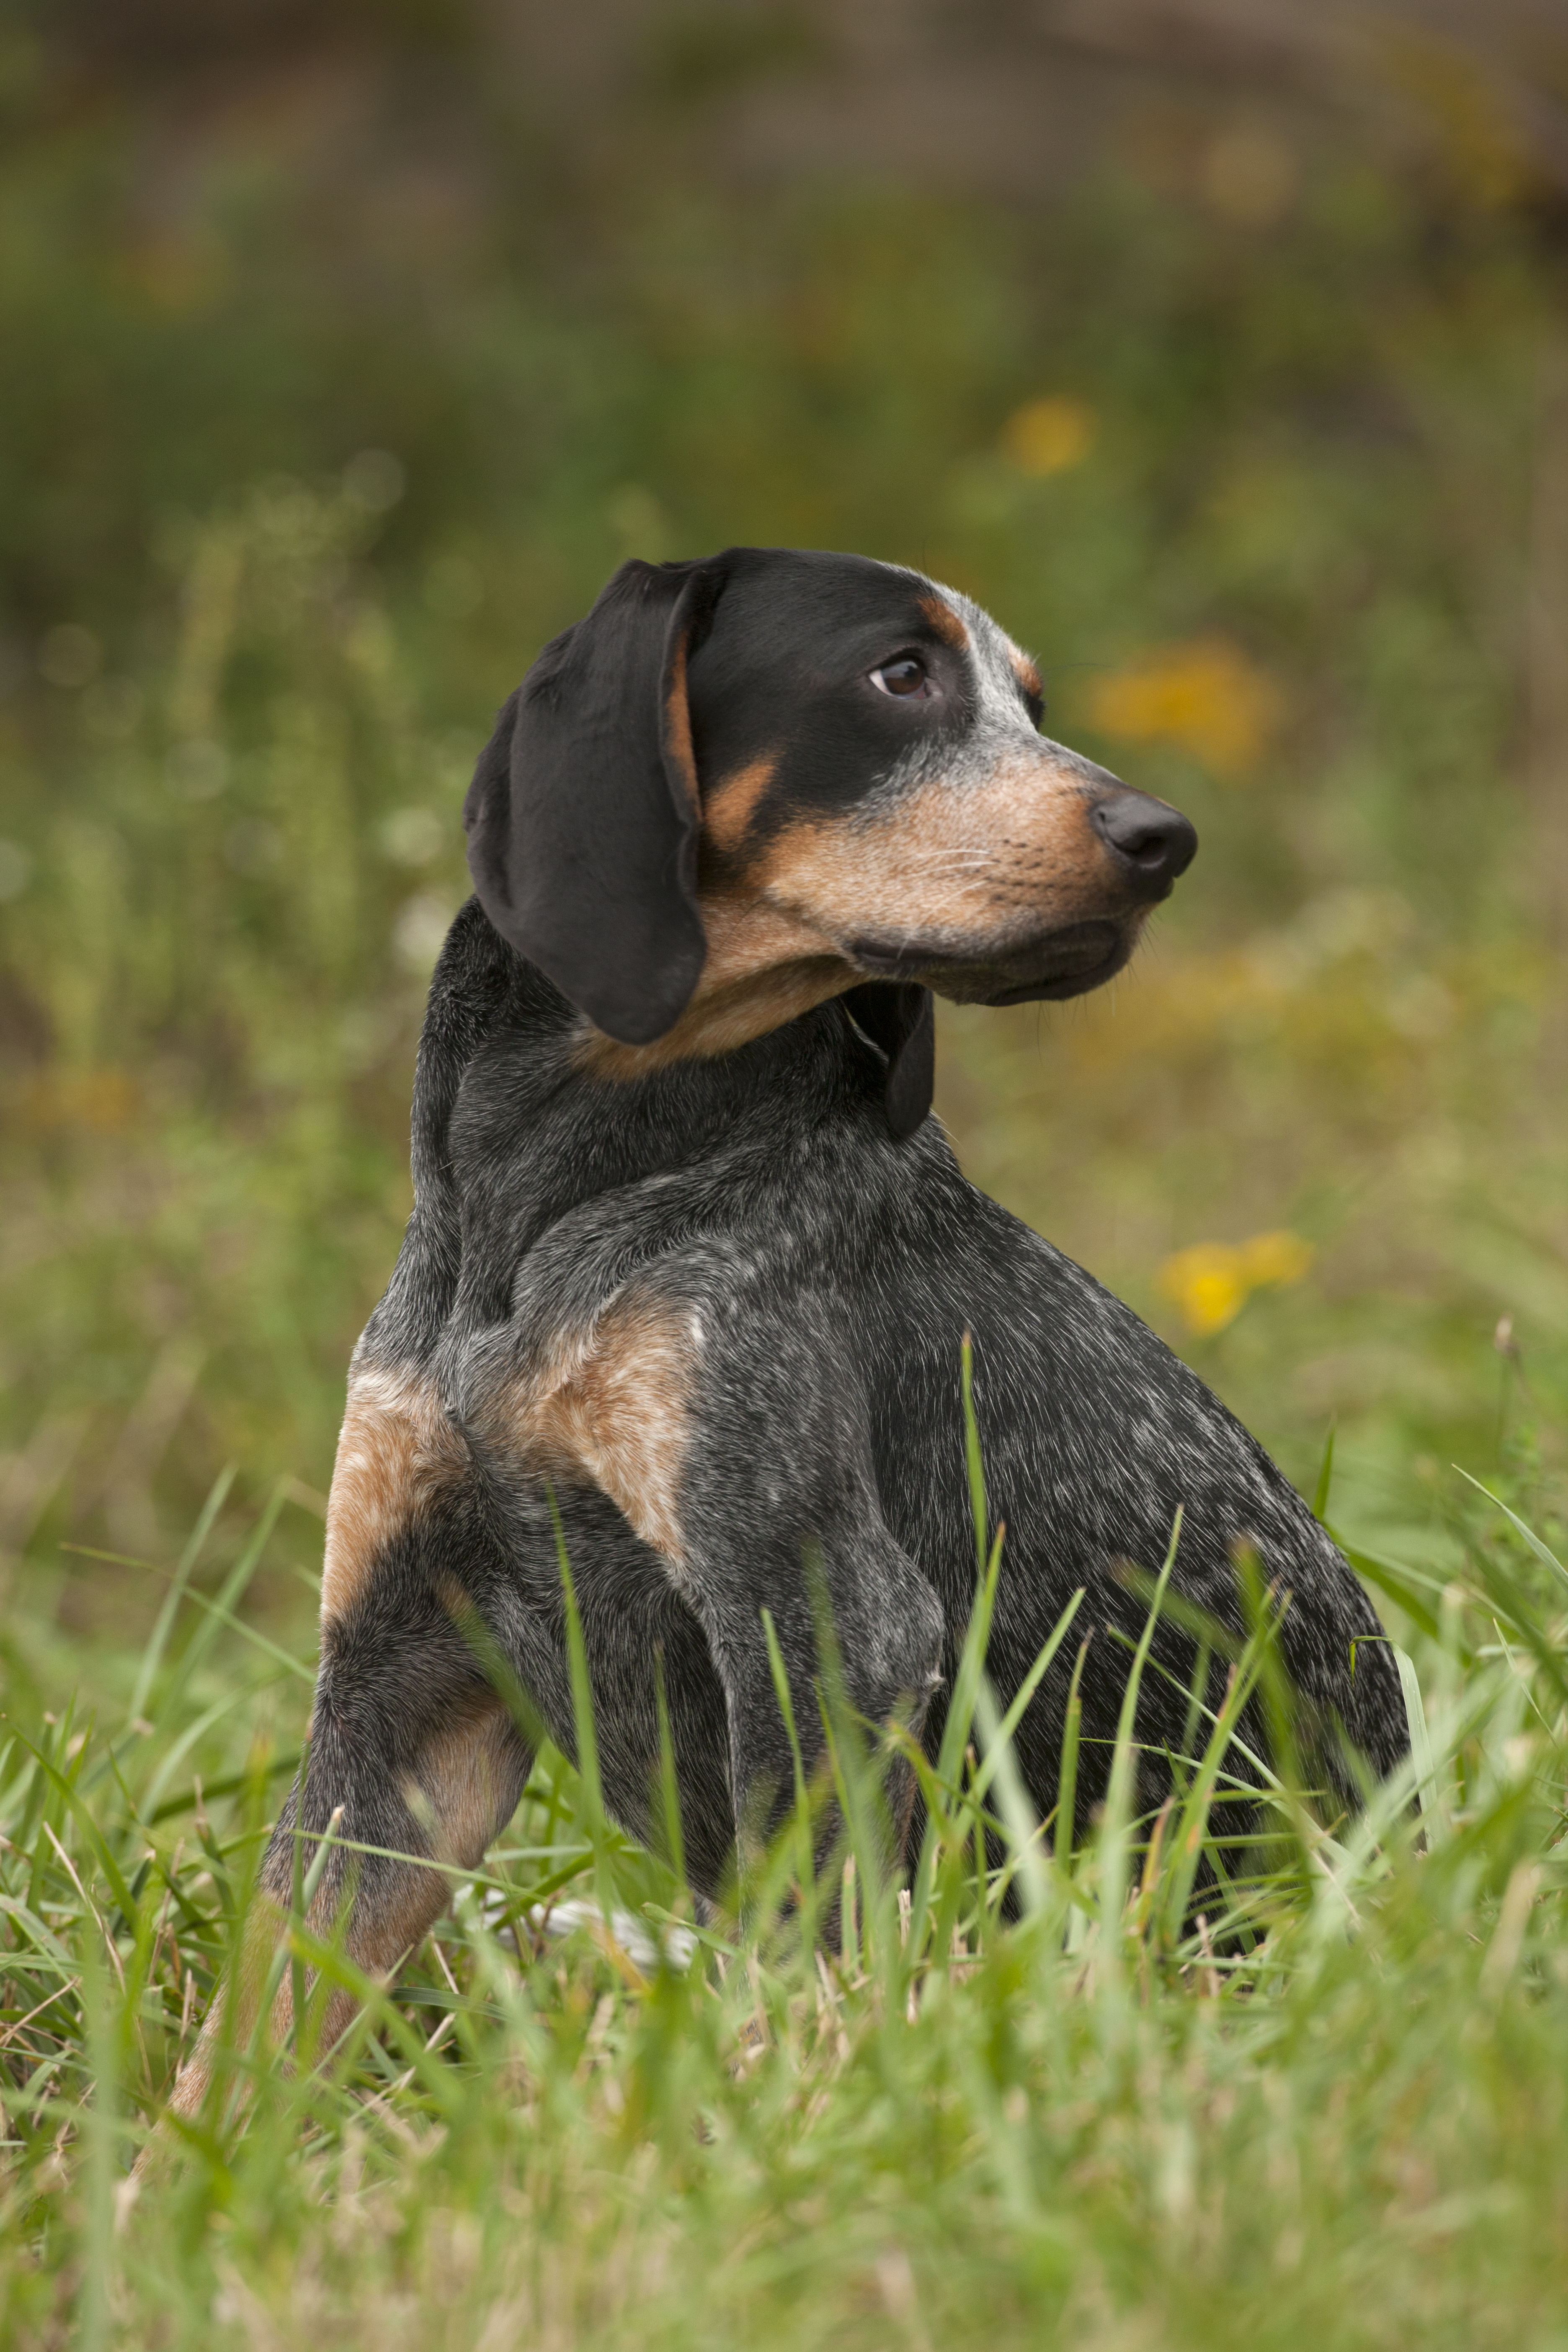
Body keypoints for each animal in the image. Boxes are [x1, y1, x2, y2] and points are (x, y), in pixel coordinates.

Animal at [165, 555, 1401, 2135]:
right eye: (898, 676)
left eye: (1030, 700)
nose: (1163, 838)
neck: (555, 1203)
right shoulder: (399, 1677)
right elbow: (260, 2015)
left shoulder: (822, 1627)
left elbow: (803, 1965)